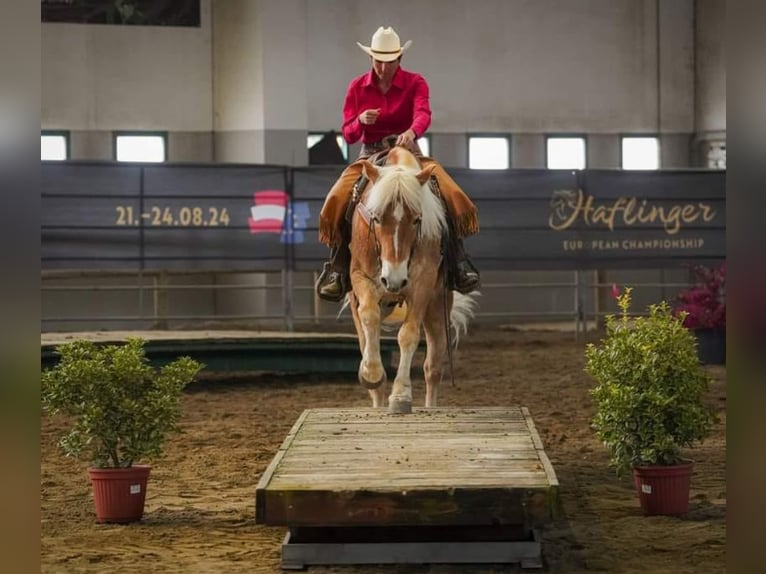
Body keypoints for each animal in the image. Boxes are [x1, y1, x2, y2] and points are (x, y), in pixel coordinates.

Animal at [346, 144, 476, 414]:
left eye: (417, 219)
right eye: (375, 217)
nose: (393, 280)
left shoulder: (422, 283)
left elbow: (408, 335)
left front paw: (401, 396)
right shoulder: (361, 277)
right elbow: (369, 316)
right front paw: (371, 372)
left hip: (437, 307)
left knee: (432, 368)